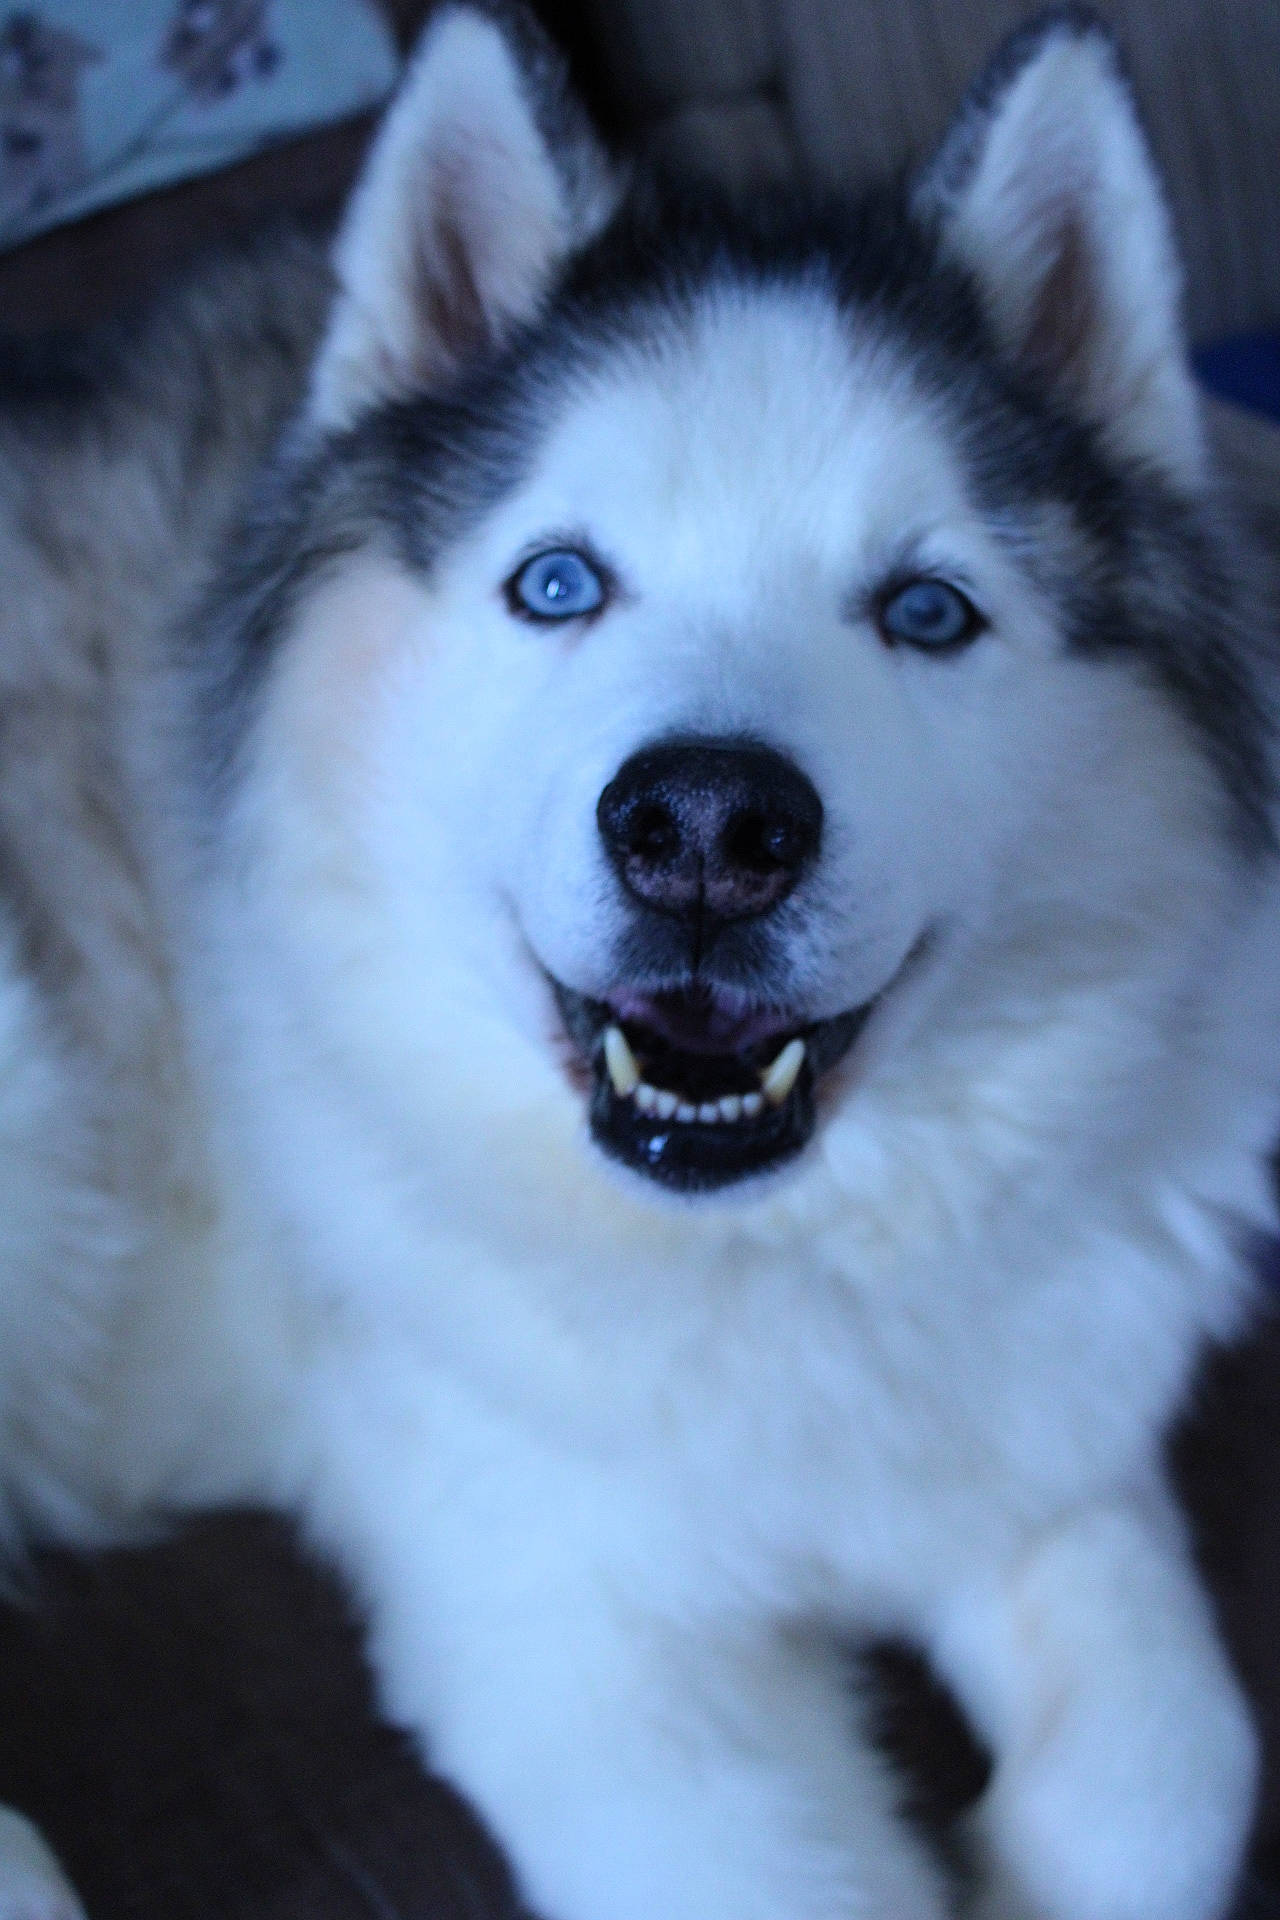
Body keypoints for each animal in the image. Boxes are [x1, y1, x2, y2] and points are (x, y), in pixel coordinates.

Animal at [1, 4, 1279, 1916]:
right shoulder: (571, 1644)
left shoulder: (1040, 1442)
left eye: (927, 611)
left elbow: (1175, 1764)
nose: (704, 828)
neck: (763, 1262)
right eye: (557, 582)